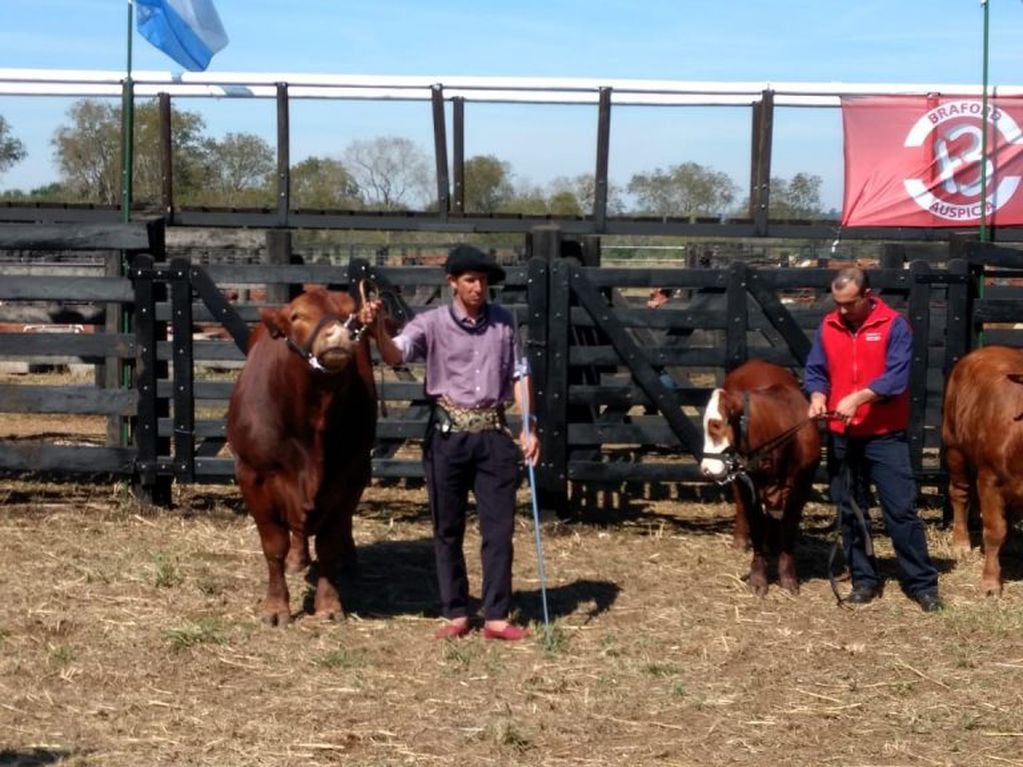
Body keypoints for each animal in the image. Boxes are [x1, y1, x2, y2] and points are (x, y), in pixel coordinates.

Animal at [226, 286, 378, 625]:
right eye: (297, 316)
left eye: (350, 313)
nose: (339, 334)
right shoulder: (253, 475)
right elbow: (274, 546)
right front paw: (275, 607)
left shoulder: (352, 474)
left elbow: (329, 543)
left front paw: (329, 604)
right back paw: (298, 558)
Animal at [699, 359, 818, 593]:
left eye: (716, 424)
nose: (705, 468)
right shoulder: (750, 487)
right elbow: (756, 526)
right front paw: (758, 578)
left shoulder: (802, 488)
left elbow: (789, 529)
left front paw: (788, 578)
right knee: (741, 506)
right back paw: (740, 541)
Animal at [937, 345, 1023, 597]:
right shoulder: (989, 479)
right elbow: (994, 530)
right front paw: (990, 582)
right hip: (955, 449)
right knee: (959, 493)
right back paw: (960, 543)